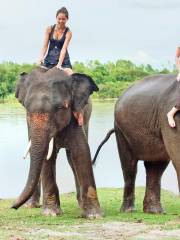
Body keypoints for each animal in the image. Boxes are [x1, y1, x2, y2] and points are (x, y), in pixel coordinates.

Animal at [12, 66, 102, 219]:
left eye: (60, 108)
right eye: (27, 109)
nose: (13, 206)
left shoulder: (75, 116)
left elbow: (81, 152)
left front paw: (94, 215)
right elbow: (47, 158)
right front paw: (51, 213)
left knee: (71, 160)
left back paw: (80, 205)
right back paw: (31, 205)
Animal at [93, 73, 180, 214]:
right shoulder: (170, 119)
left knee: (155, 167)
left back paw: (154, 212)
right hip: (121, 131)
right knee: (130, 167)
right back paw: (128, 211)